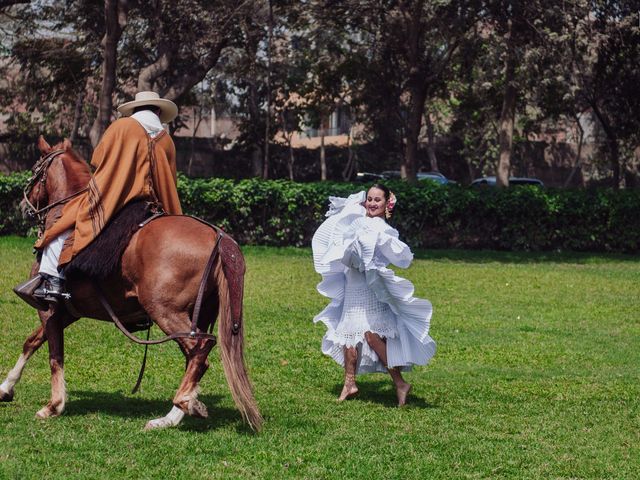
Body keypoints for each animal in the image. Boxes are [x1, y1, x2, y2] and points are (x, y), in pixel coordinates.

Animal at [0, 136, 262, 432]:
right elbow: (31, 342)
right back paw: (172, 416)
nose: (23, 207)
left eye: (35, 170)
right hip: (199, 315)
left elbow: (54, 354)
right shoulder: (68, 312)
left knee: (200, 351)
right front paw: (6, 388)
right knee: (195, 357)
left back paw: (182, 404)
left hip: (166, 311)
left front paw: (53, 406)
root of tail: (218, 237)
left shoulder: (49, 309)